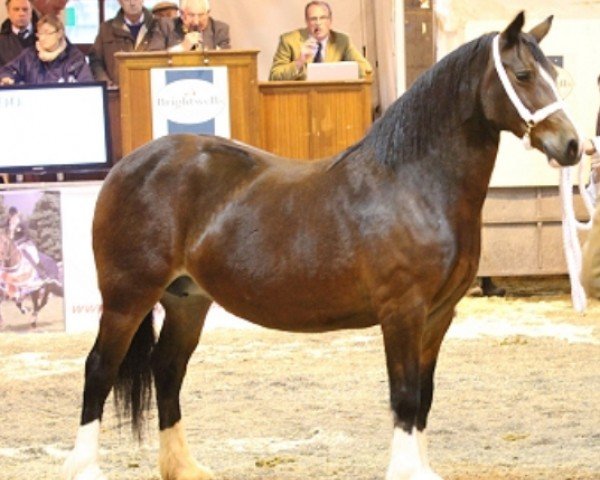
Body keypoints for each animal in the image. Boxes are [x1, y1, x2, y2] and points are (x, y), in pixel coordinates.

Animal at [64, 12, 580, 480]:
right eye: (523, 75)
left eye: (554, 75)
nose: (574, 145)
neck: (414, 184)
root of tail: (128, 164)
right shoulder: (402, 312)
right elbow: (405, 395)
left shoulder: (438, 316)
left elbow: (425, 396)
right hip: (127, 298)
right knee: (99, 370)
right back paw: (86, 468)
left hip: (187, 301)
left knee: (167, 370)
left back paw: (184, 468)